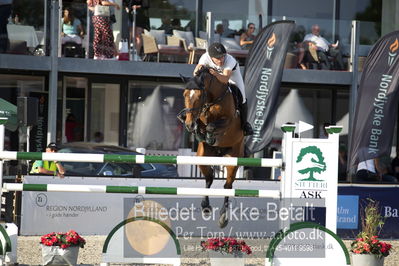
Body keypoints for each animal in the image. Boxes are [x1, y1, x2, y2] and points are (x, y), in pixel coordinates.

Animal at [179, 67, 247, 228]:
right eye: (185, 94)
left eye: (199, 95)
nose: (189, 124)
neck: (212, 100)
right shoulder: (200, 118)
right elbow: (203, 125)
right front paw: (199, 132)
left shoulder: (228, 121)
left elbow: (212, 126)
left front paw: (209, 135)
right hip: (203, 157)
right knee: (209, 178)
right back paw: (205, 206)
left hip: (233, 158)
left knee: (227, 186)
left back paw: (223, 217)